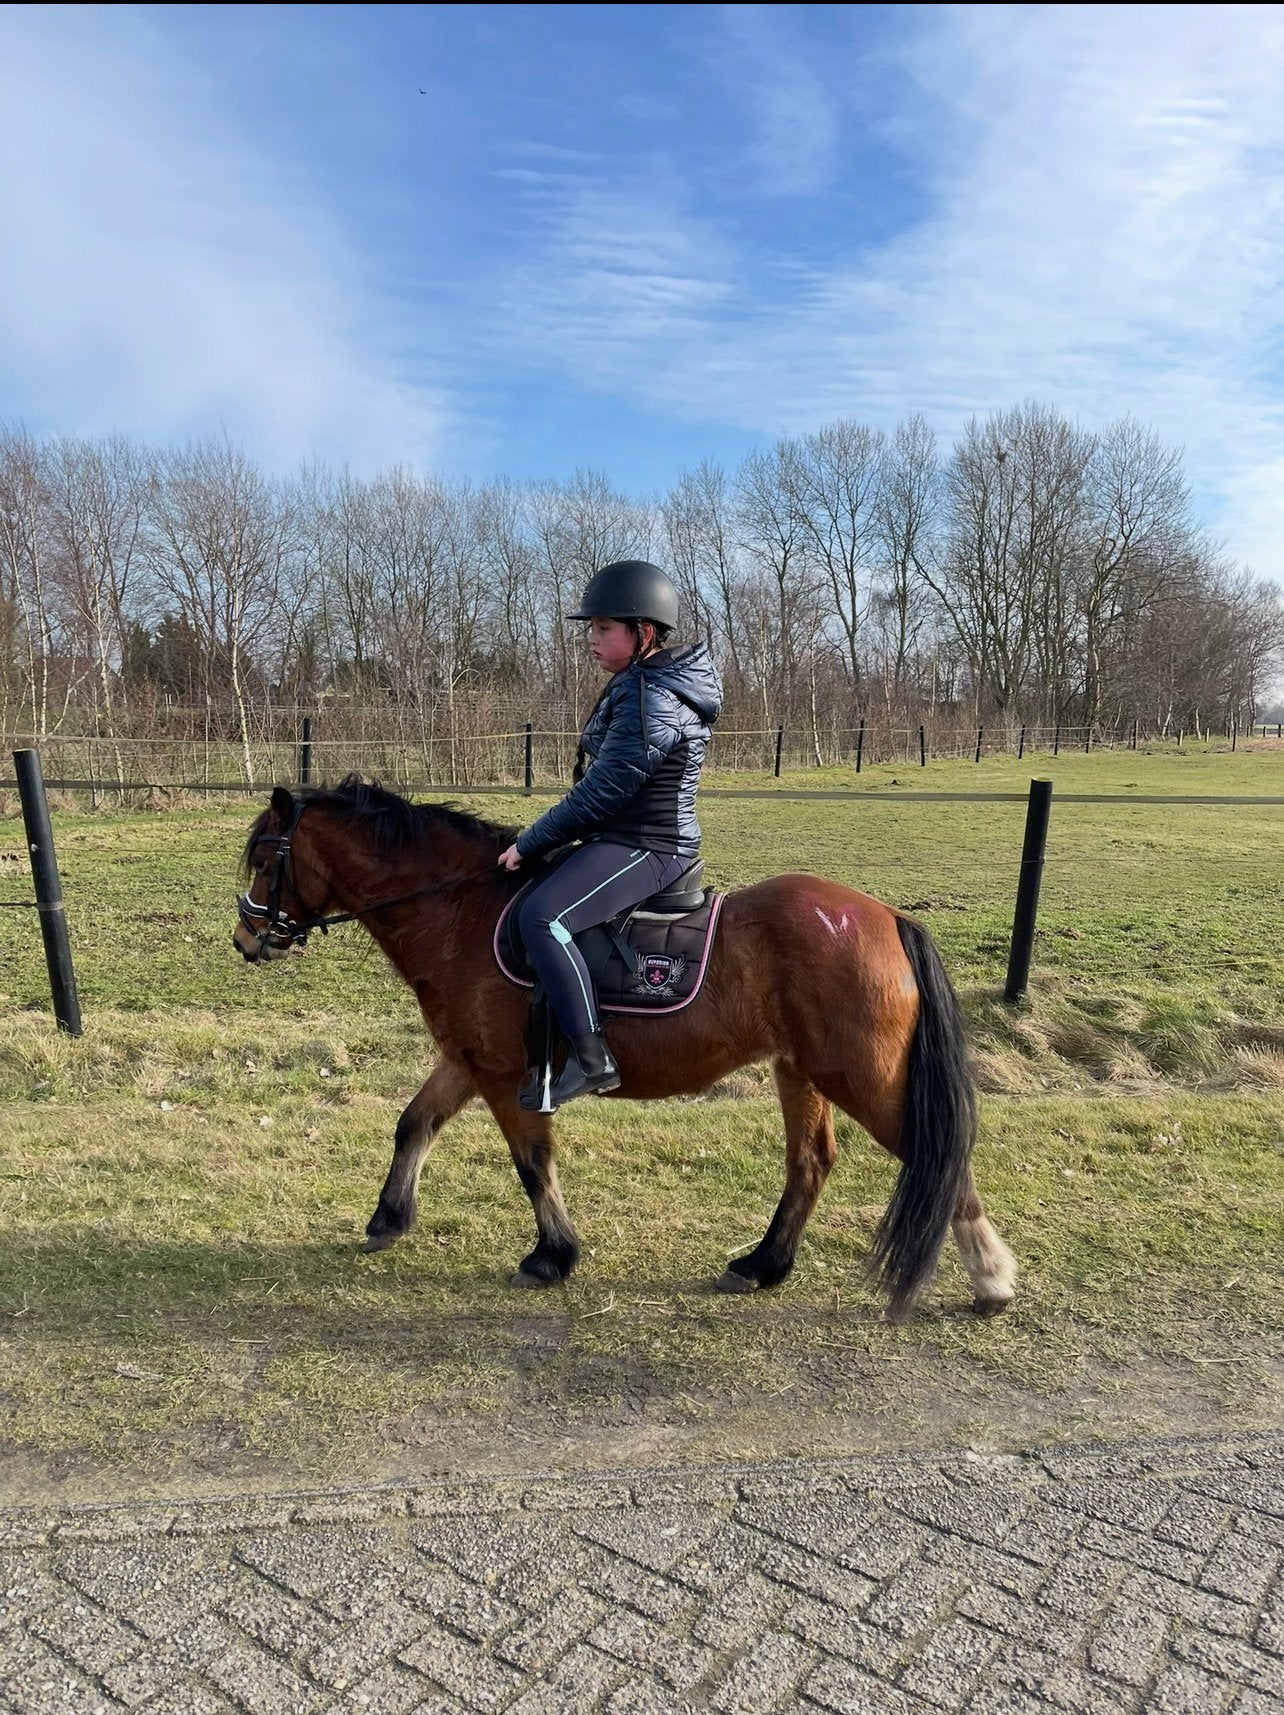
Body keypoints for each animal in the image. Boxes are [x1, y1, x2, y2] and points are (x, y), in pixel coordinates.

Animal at [232, 777, 1016, 1322]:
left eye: (267, 858)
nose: (245, 939)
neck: (462, 912)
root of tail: (884, 916)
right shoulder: (466, 1061)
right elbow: (413, 1124)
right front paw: (388, 1219)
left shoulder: (509, 1077)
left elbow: (533, 1163)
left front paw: (553, 1256)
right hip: (802, 1072)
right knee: (811, 1164)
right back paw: (761, 1265)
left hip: (859, 1076)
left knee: (935, 1155)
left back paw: (991, 1279)